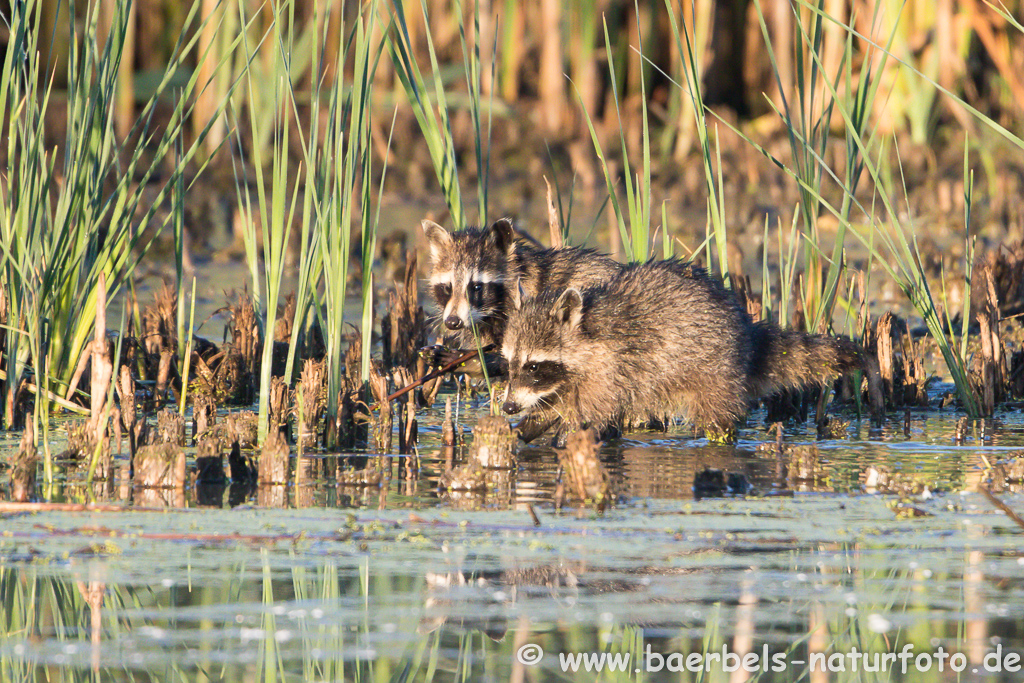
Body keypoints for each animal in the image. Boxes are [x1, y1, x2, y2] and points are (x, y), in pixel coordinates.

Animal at [499, 258, 860, 444]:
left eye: (533, 366)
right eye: (509, 364)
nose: (507, 407)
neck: (586, 332)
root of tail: (747, 334)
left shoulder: (609, 372)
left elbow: (590, 414)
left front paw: (561, 436)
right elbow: (551, 405)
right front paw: (527, 427)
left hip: (716, 369)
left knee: (718, 420)